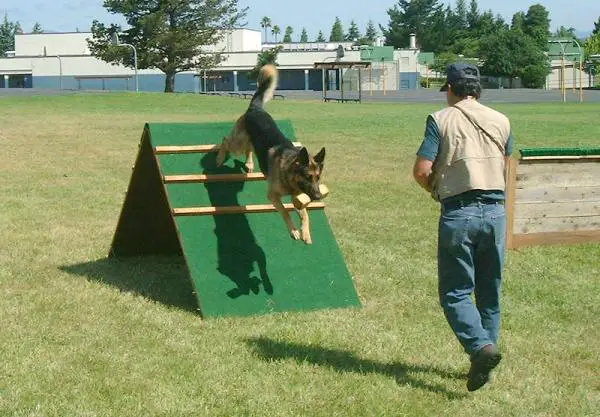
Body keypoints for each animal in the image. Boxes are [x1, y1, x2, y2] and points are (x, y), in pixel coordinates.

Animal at [216, 65, 326, 244]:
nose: (317, 196)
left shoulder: (297, 199)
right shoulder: (273, 196)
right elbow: (285, 212)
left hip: (250, 142)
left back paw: (249, 164)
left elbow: (305, 214)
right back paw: (219, 158)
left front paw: (306, 232)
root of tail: (255, 109)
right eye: (308, 177)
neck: (288, 171)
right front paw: (294, 231)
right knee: (226, 141)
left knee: (248, 150)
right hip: (238, 143)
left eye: (318, 177)